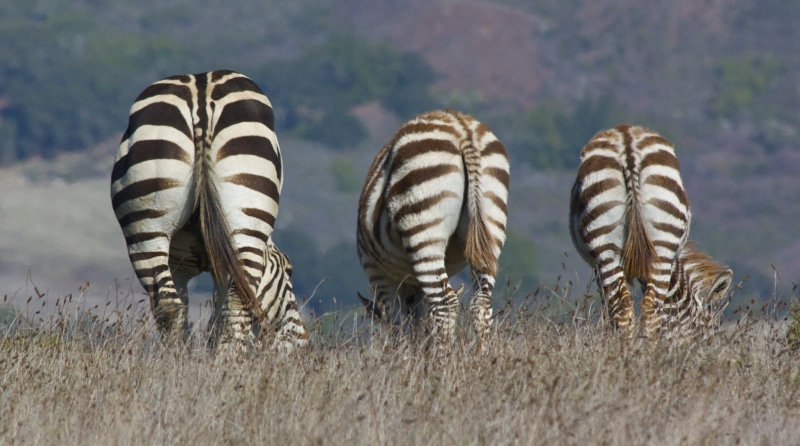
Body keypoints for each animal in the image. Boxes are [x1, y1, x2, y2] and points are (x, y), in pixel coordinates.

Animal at [110, 70, 307, 350]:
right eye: (289, 270)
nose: (304, 342)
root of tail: (201, 88)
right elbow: (220, 317)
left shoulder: (181, 265)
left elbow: (205, 316)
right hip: (245, 219)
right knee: (238, 303)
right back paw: (228, 362)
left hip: (146, 222)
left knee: (168, 306)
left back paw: (179, 360)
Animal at [356, 109, 510, 350]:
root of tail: (462, 128)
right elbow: (419, 322)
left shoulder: (378, 274)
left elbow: (399, 325)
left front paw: (404, 356)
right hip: (492, 223)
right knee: (481, 302)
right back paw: (481, 355)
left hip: (423, 227)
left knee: (444, 303)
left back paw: (445, 358)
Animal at [569, 124, 733, 338]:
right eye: (709, 332)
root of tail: (627, 139)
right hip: (660, 244)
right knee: (650, 310)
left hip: (609, 247)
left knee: (626, 308)